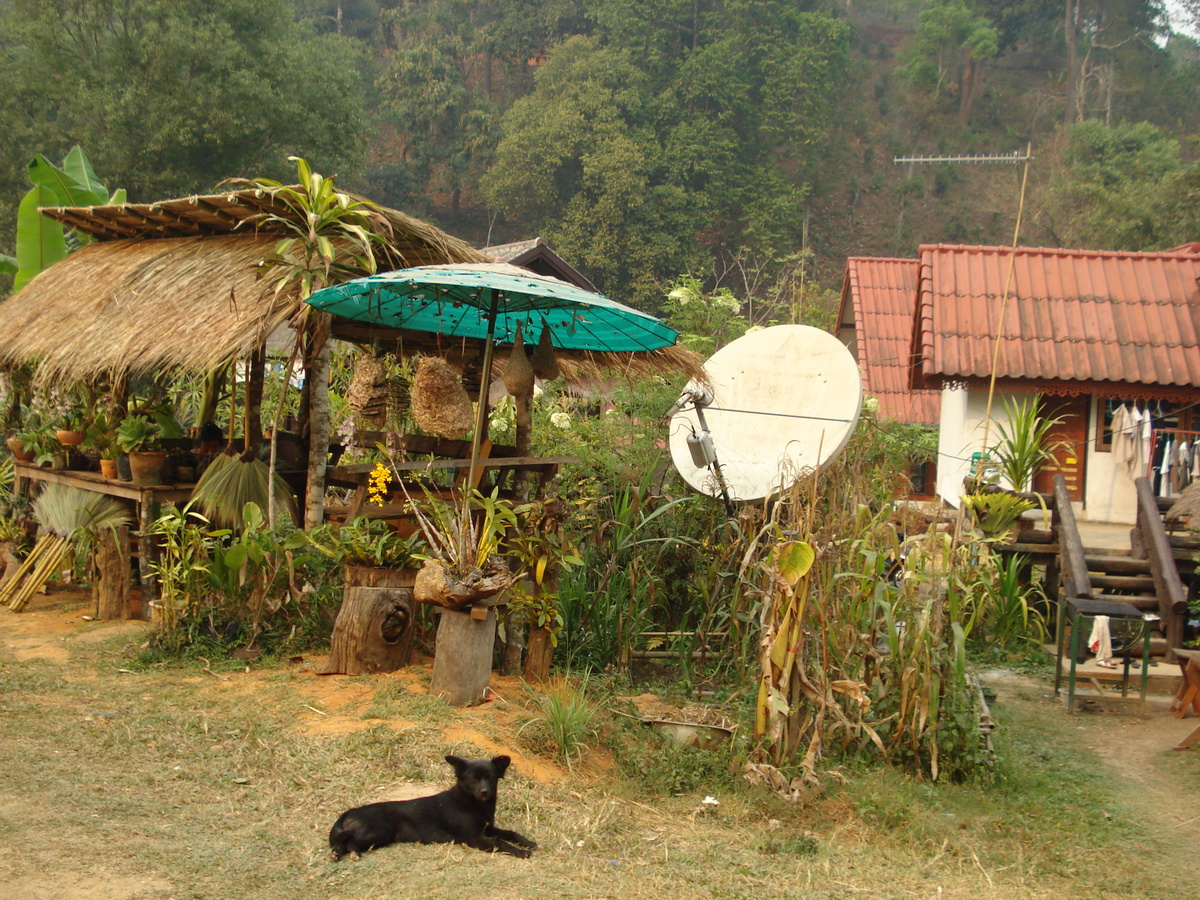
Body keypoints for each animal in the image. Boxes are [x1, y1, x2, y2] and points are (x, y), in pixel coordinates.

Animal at [326, 758, 537, 864]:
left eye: (490, 778)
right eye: (473, 779)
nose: (484, 791)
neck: (472, 804)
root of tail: (351, 811)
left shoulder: (488, 828)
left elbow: (510, 833)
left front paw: (527, 842)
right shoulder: (474, 838)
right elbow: (500, 842)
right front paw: (520, 852)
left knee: (342, 843)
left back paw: (337, 854)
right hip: (381, 831)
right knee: (351, 841)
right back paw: (353, 853)